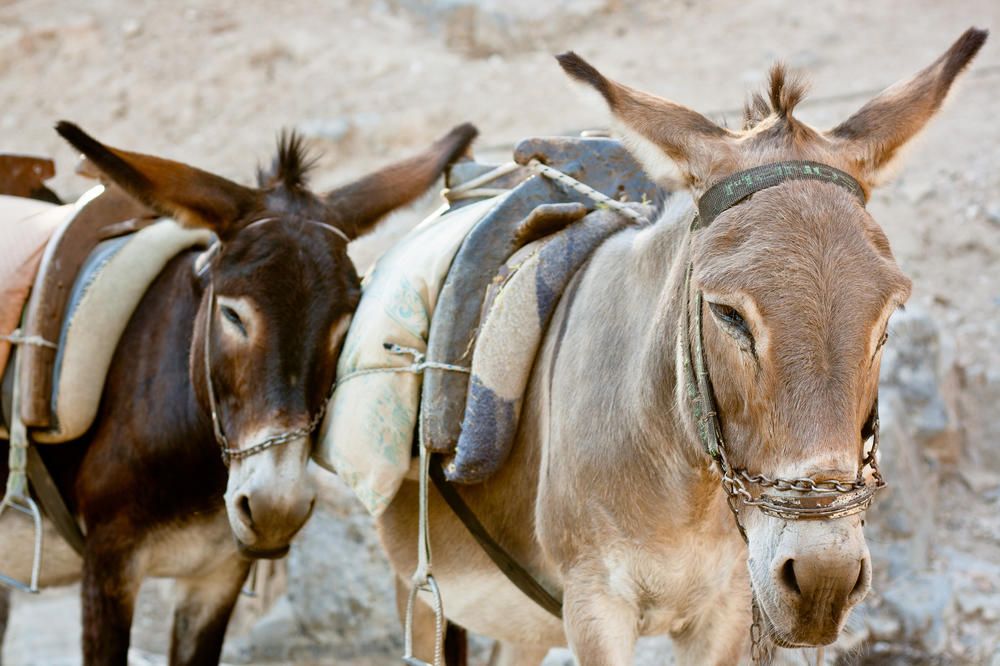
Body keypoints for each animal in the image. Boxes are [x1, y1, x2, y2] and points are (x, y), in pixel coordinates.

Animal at [376, 28, 987, 664]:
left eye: (889, 317)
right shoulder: (593, 605)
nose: (824, 582)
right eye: (727, 314)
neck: (684, 483)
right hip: (422, 591)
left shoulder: (727, 605)